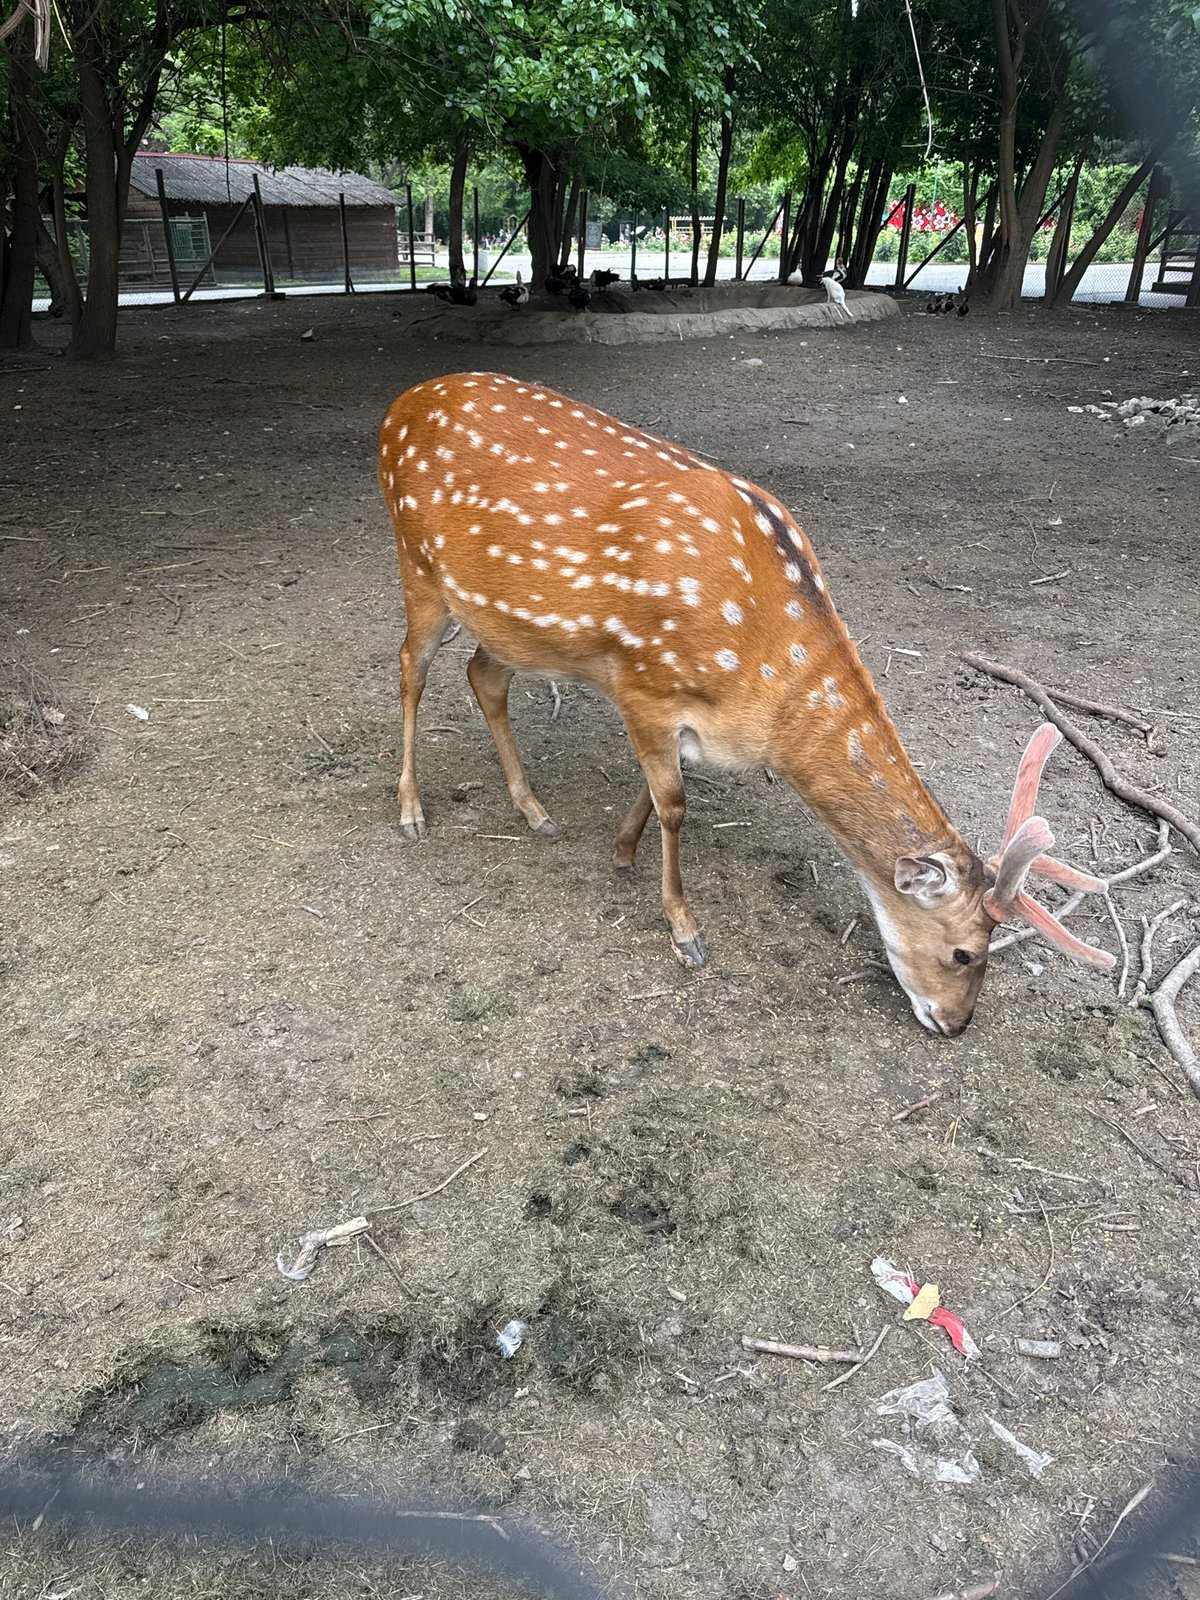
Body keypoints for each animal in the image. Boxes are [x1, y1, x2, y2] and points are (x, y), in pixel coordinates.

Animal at [378, 372, 1113, 1036]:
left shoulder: (687, 718)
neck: (764, 707)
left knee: (482, 676)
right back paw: (411, 809)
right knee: (410, 668)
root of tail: (401, 403)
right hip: (418, 567)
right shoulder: (642, 682)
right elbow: (676, 804)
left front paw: (621, 849)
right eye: (965, 952)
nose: (956, 1024)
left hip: (504, 621)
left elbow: (662, 783)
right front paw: (685, 930)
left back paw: (534, 809)